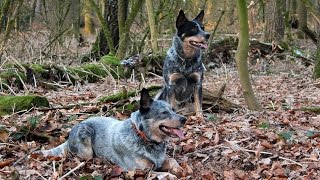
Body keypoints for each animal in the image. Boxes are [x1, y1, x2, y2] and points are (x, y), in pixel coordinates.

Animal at [40, 88, 185, 173]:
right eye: (164, 113)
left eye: (173, 110)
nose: (184, 119)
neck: (142, 136)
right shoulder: (141, 170)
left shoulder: (162, 160)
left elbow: (173, 161)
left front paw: (180, 169)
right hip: (86, 144)